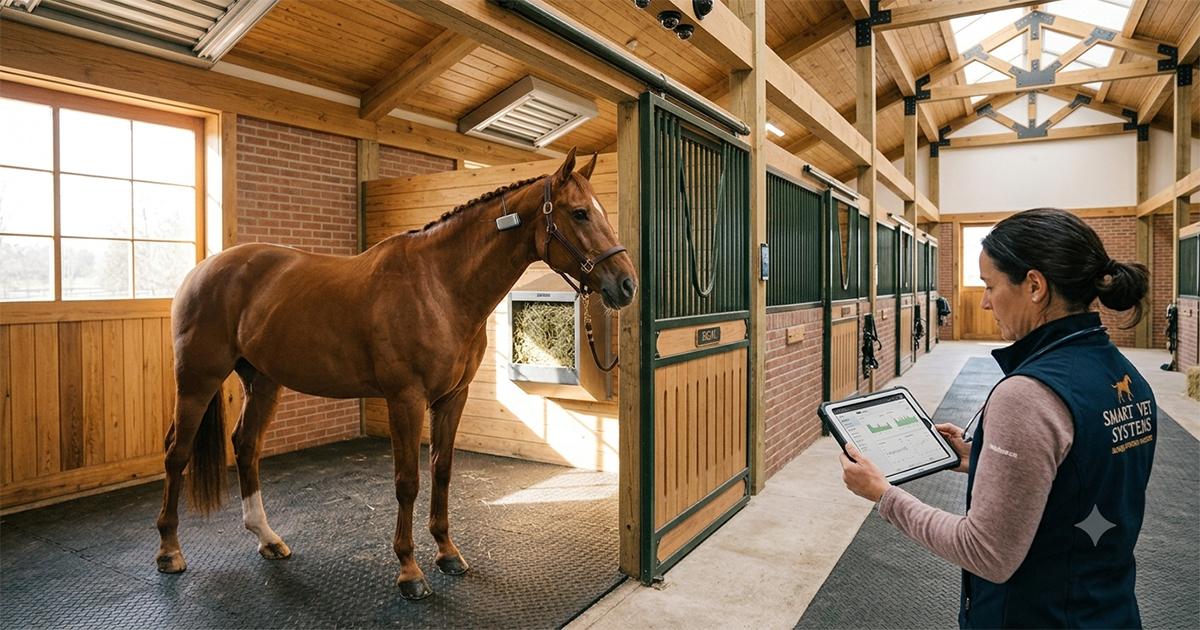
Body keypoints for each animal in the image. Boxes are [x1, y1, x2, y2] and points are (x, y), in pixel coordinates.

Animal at [154, 148, 637, 600]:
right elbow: (408, 482)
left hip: (263, 381)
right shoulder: (405, 400)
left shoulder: (452, 398)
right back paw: (169, 551)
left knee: (246, 446)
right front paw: (409, 571)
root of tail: (201, 270)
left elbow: (442, 471)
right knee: (177, 453)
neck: (439, 287)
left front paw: (447, 553)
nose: (627, 284)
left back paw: (267, 538)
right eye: (580, 212)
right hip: (197, 380)